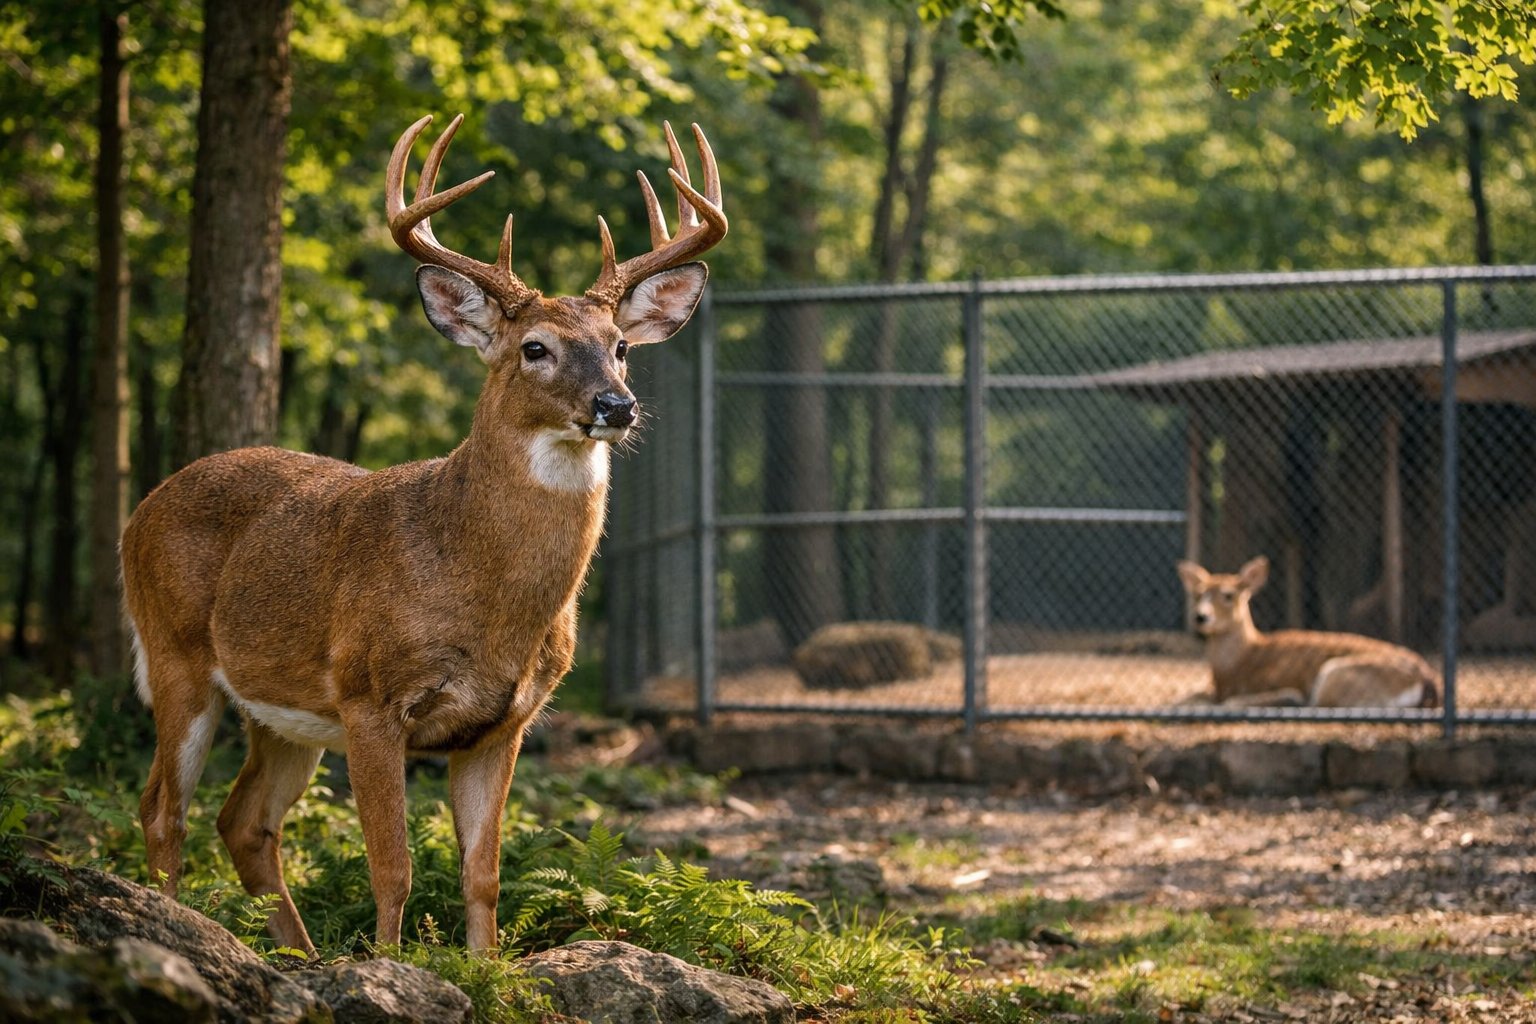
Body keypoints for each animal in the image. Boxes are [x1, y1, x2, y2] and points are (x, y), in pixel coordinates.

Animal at [120, 113, 726, 955]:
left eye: (622, 345)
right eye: (535, 347)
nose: (616, 405)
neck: (479, 587)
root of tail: (140, 510)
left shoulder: (505, 722)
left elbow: (483, 874)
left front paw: (485, 967)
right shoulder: (370, 695)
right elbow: (394, 867)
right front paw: (386, 964)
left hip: (284, 712)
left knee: (244, 822)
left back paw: (301, 956)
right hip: (176, 654)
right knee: (163, 810)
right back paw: (174, 927)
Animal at [1176, 557, 1440, 709]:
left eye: (1229, 595)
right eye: (1198, 593)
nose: (1201, 616)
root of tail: (1429, 681)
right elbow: (1190, 694)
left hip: (1335, 675)